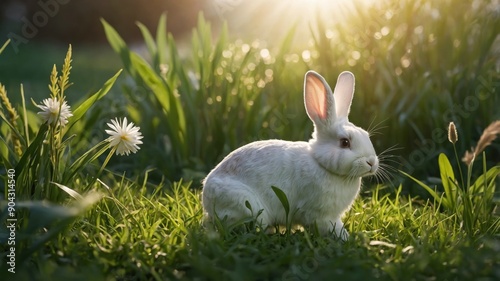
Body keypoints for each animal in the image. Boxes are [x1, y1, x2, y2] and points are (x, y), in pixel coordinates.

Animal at [201, 71, 376, 240]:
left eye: (366, 135)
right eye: (345, 142)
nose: (372, 163)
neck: (321, 164)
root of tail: (206, 201)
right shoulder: (320, 215)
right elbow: (332, 227)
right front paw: (346, 238)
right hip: (245, 205)